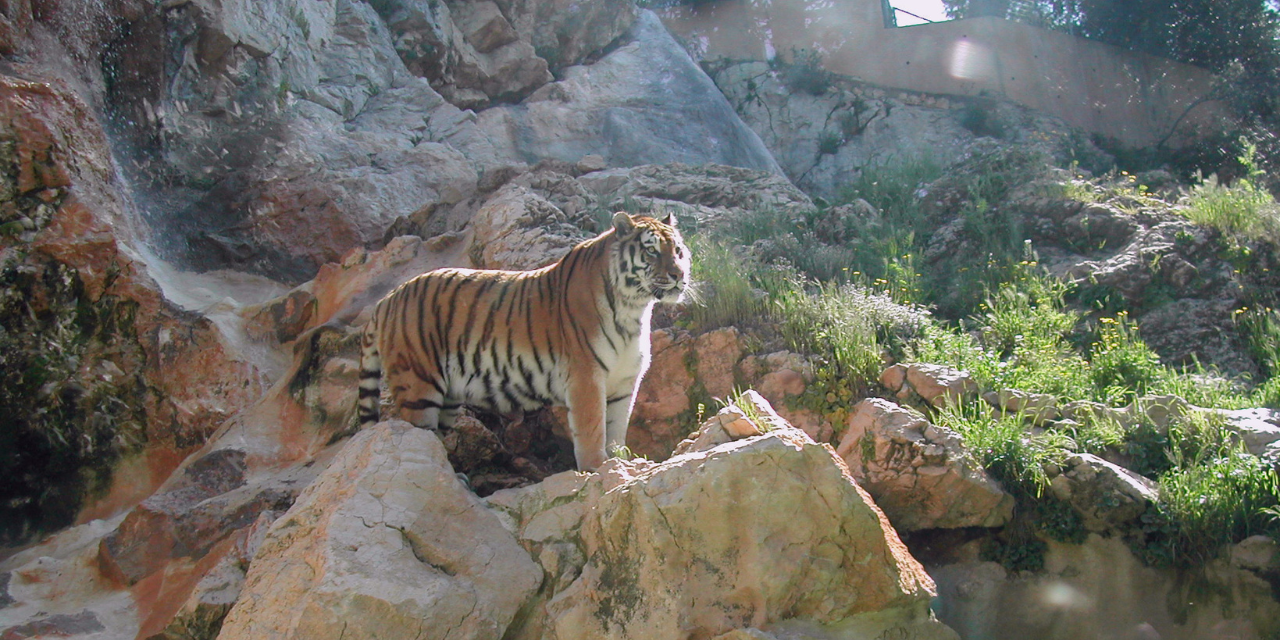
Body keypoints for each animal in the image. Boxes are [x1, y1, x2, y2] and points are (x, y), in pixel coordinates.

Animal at [355, 211, 696, 471]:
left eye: (678, 250)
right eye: (652, 251)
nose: (679, 275)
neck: (634, 309)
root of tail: (388, 299)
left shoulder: (624, 384)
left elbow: (616, 430)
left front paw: (619, 462)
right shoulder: (585, 377)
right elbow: (591, 429)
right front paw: (596, 468)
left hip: (448, 399)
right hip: (418, 387)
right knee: (417, 440)